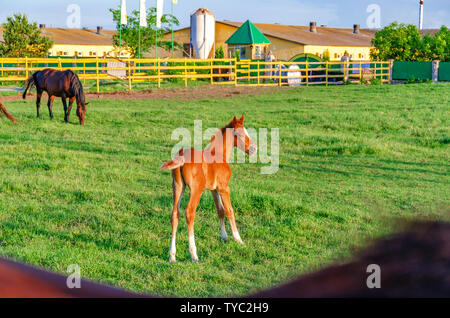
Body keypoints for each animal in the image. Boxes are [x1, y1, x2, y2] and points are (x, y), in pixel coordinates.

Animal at [160, 115, 256, 262]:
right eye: (240, 134)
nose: (253, 149)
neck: (218, 154)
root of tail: (181, 153)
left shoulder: (213, 190)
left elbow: (220, 211)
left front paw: (224, 237)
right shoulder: (223, 188)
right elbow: (229, 210)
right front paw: (238, 239)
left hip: (178, 186)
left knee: (175, 214)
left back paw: (172, 255)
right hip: (196, 189)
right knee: (189, 212)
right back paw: (194, 254)